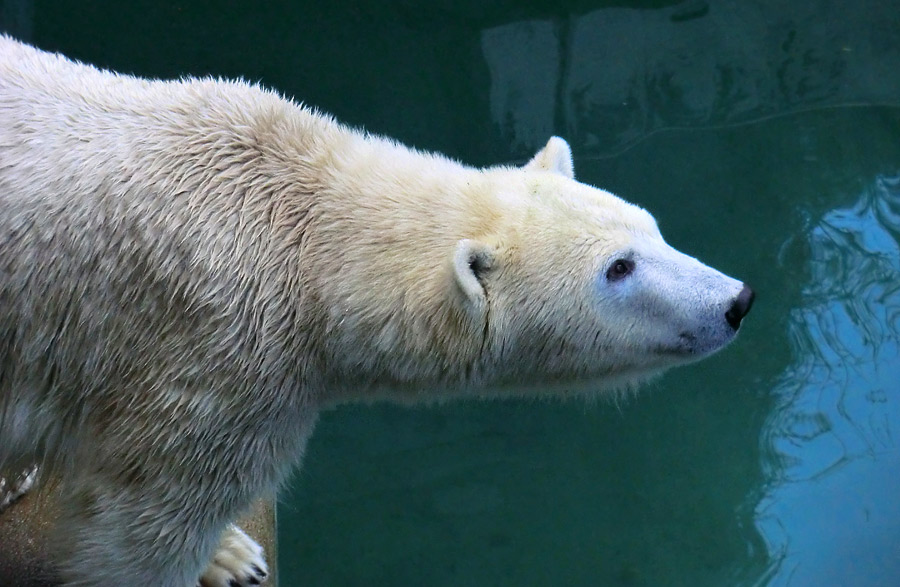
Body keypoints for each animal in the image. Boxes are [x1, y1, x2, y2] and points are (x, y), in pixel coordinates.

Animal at [0, 38, 752, 587]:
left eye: (652, 228)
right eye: (618, 267)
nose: (736, 301)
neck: (302, 230)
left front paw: (231, 554)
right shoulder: (214, 358)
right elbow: (145, 530)